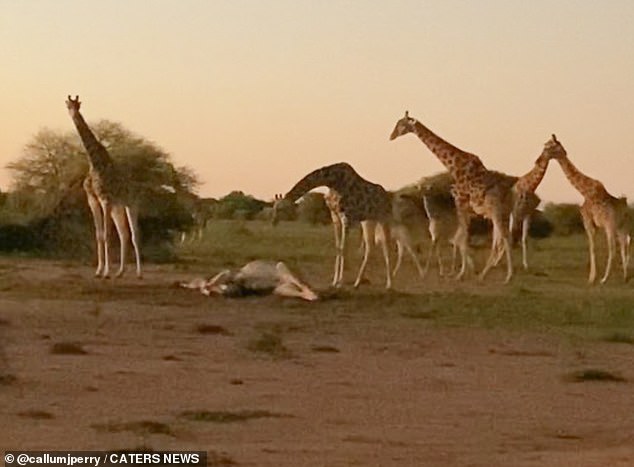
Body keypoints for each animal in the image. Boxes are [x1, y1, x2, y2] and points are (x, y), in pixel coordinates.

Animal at [64, 95, 141, 278]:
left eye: (78, 105)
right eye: (69, 106)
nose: (74, 114)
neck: (95, 163)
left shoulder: (105, 200)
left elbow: (106, 235)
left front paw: (106, 272)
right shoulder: (93, 200)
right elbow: (99, 235)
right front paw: (99, 270)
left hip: (132, 204)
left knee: (135, 235)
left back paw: (139, 273)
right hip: (118, 207)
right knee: (124, 234)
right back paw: (120, 272)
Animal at [388, 111, 516, 284]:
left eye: (401, 124)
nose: (391, 136)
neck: (454, 165)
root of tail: (511, 195)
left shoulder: (460, 202)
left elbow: (462, 238)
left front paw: (460, 274)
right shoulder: (464, 207)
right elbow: (461, 238)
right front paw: (464, 271)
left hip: (496, 211)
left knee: (505, 239)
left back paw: (507, 277)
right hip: (501, 214)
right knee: (499, 240)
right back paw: (485, 274)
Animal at [540, 133, 628, 284]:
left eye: (548, 146)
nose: (541, 157)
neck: (584, 191)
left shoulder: (588, 222)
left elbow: (592, 248)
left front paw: (592, 278)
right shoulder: (595, 225)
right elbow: (594, 248)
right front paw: (593, 276)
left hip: (610, 226)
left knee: (613, 248)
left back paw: (605, 279)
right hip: (621, 227)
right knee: (623, 246)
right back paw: (625, 277)